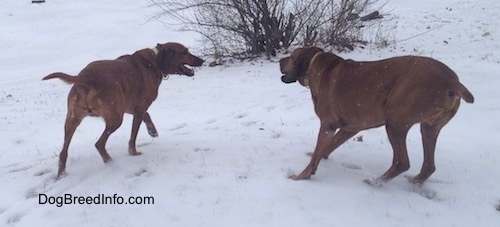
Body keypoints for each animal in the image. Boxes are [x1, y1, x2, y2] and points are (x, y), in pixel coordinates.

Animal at [280, 47, 474, 185]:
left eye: (291, 55)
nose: (280, 60)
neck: (315, 65)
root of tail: (452, 82)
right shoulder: (350, 128)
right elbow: (328, 146)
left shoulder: (328, 125)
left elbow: (318, 153)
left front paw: (301, 176)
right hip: (429, 129)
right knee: (428, 166)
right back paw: (414, 182)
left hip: (395, 123)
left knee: (402, 162)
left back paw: (375, 182)